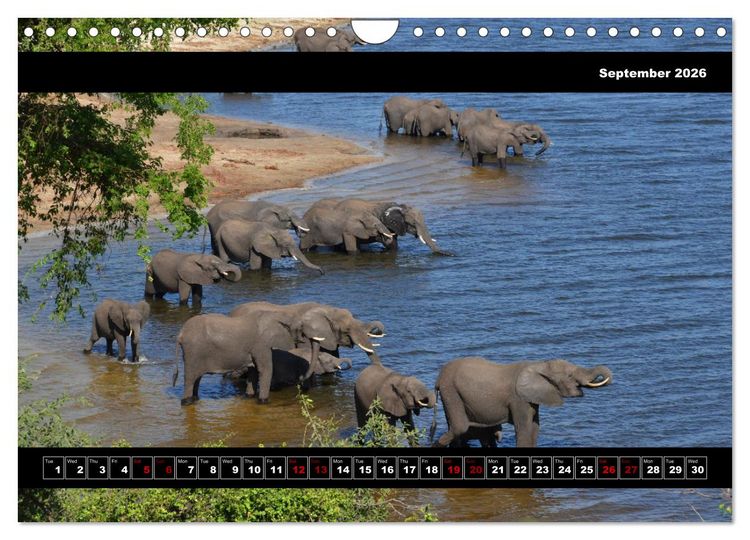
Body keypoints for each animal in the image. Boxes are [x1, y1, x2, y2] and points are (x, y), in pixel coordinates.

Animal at [174, 307, 338, 405]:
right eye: (302, 328)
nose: (301, 380)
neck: (278, 314)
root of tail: (180, 334)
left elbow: (253, 370)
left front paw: (250, 397)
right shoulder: (261, 344)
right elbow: (266, 369)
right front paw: (264, 401)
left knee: (197, 378)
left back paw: (195, 399)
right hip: (193, 351)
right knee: (190, 377)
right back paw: (187, 401)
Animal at [430, 357, 612, 448]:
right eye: (569, 376)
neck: (540, 365)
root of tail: (438, 377)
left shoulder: (531, 399)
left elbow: (534, 428)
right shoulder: (518, 399)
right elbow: (524, 429)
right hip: (451, 391)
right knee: (460, 427)